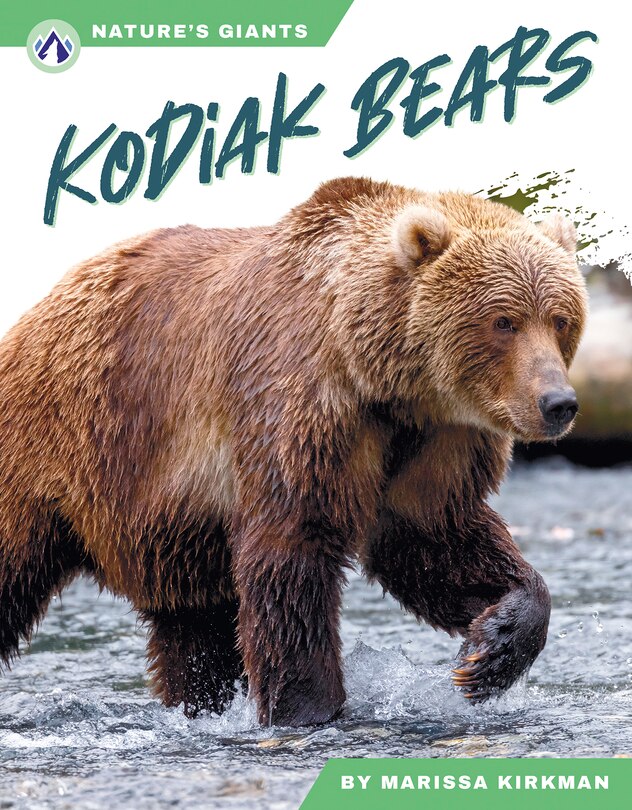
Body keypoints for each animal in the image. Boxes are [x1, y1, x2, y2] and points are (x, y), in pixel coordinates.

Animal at [0, 177, 587, 727]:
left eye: (559, 318)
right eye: (504, 320)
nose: (558, 402)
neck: (380, 378)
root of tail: (34, 311)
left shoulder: (437, 440)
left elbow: (434, 539)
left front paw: (489, 651)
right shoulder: (301, 410)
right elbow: (291, 556)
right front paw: (307, 708)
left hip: (173, 537)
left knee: (196, 632)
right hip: (60, 449)